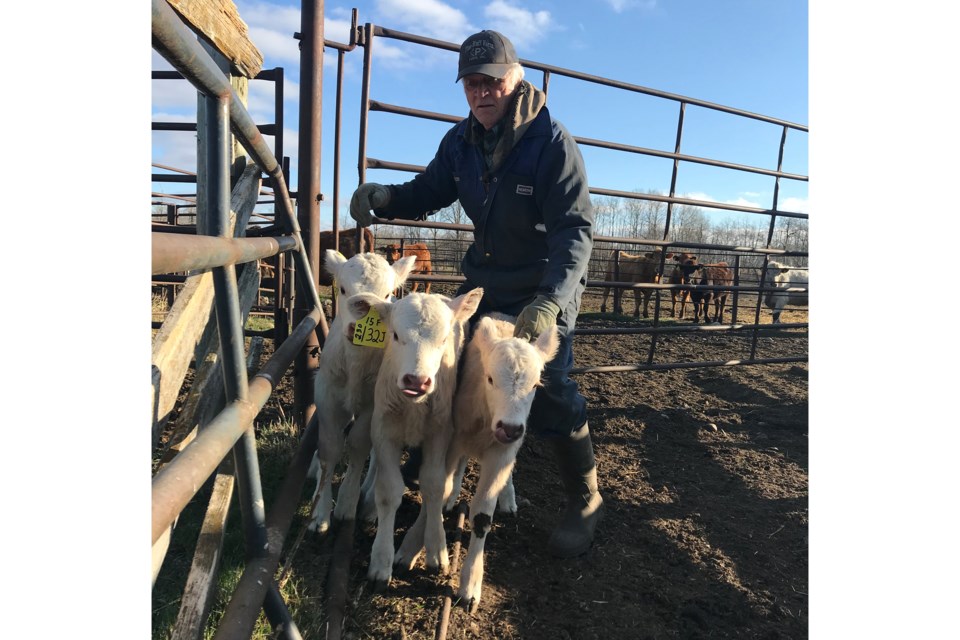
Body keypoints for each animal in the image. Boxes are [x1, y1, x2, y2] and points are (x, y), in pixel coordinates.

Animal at [306, 250, 414, 536]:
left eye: (387, 294)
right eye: (343, 289)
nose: (358, 328)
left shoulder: (373, 406)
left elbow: (358, 444)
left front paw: (346, 504)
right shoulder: (327, 396)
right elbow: (330, 447)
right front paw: (320, 513)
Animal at [344, 288, 484, 592]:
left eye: (443, 340)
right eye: (395, 335)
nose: (416, 381)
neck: (414, 406)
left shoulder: (440, 432)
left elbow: (434, 485)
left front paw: (435, 548)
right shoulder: (384, 430)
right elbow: (389, 490)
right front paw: (381, 560)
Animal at [444, 312, 560, 612]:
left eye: (536, 385)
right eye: (490, 378)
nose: (509, 428)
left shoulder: (502, 453)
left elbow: (483, 515)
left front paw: (470, 586)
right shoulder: (453, 437)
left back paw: (508, 498)